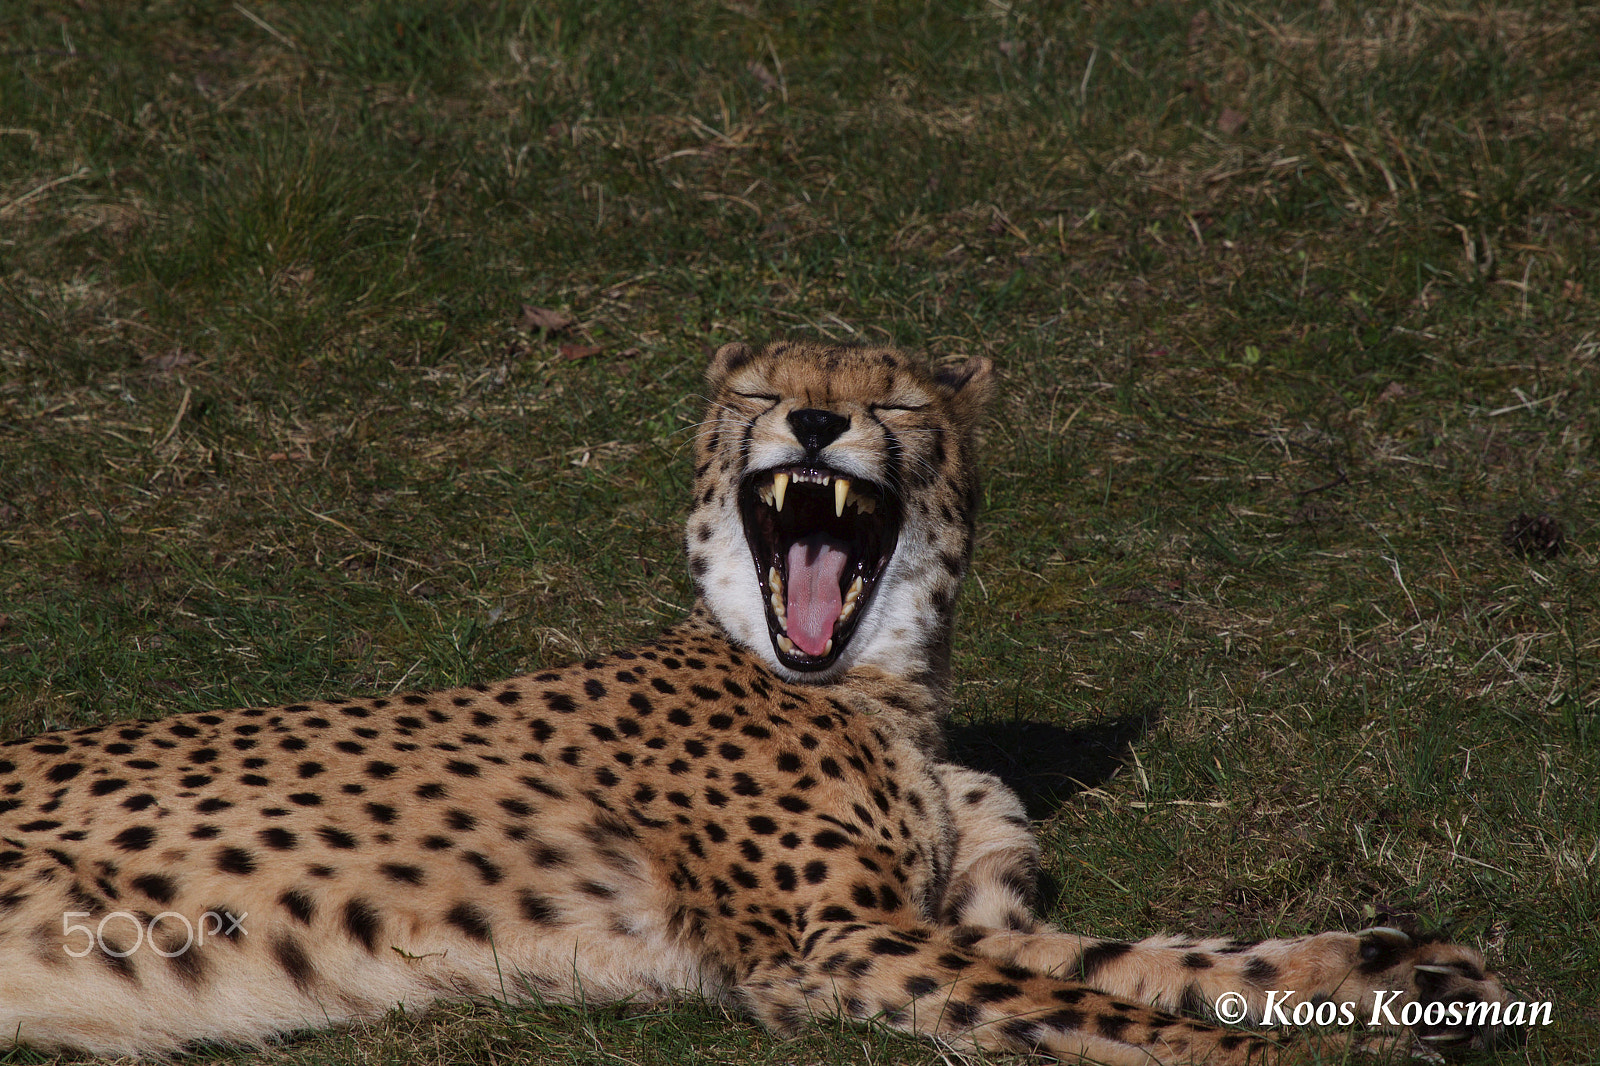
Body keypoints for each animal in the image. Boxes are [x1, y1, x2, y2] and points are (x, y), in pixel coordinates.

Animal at [0, 339, 1515, 1063]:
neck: (886, 690)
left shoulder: (957, 914)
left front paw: (1401, 967)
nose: (818, 426)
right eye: (764, 390)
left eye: (892, 399)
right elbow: (1116, 1013)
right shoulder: (824, 941)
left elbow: (1156, 961)